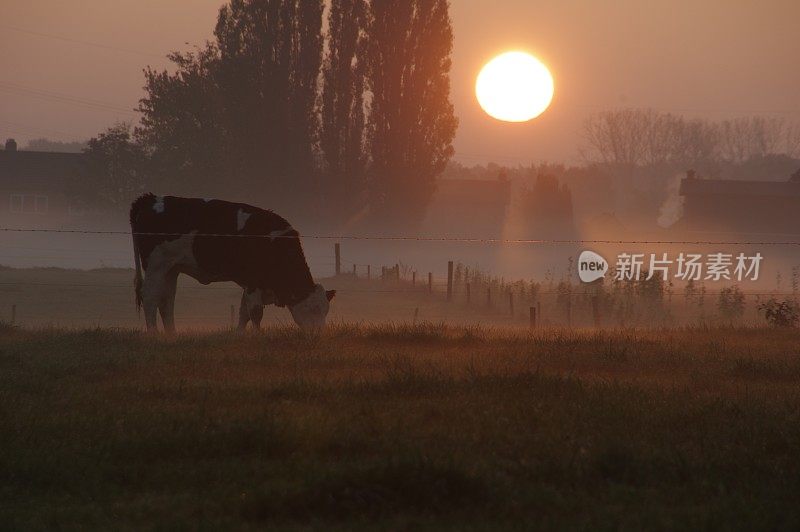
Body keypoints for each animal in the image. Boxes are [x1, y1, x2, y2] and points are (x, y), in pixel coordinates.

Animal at [129, 193, 334, 330]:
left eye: (325, 310)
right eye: (312, 308)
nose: (318, 334)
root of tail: (151, 198)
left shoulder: (251, 285)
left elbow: (243, 313)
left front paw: (239, 336)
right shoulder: (253, 282)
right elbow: (255, 313)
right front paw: (258, 336)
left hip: (171, 268)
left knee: (166, 301)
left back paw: (171, 335)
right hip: (155, 265)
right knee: (150, 297)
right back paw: (154, 334)